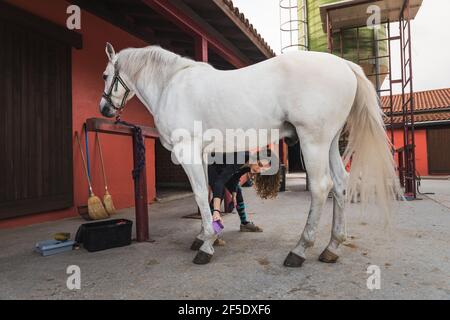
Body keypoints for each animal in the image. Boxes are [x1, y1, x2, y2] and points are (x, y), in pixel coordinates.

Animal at [100, 43, 400, 266]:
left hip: (313, 141)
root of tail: (344, 65)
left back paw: (299, 250)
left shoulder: (188, 151)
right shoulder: (203, 155)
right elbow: (205, 194)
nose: (104, 108)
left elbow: (199, 194)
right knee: (339, 184)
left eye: (105, 76)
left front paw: (206, 244)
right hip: (330, 142)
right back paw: (332, 247)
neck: (171, 85)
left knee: (320, 187)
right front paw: (203, 236)